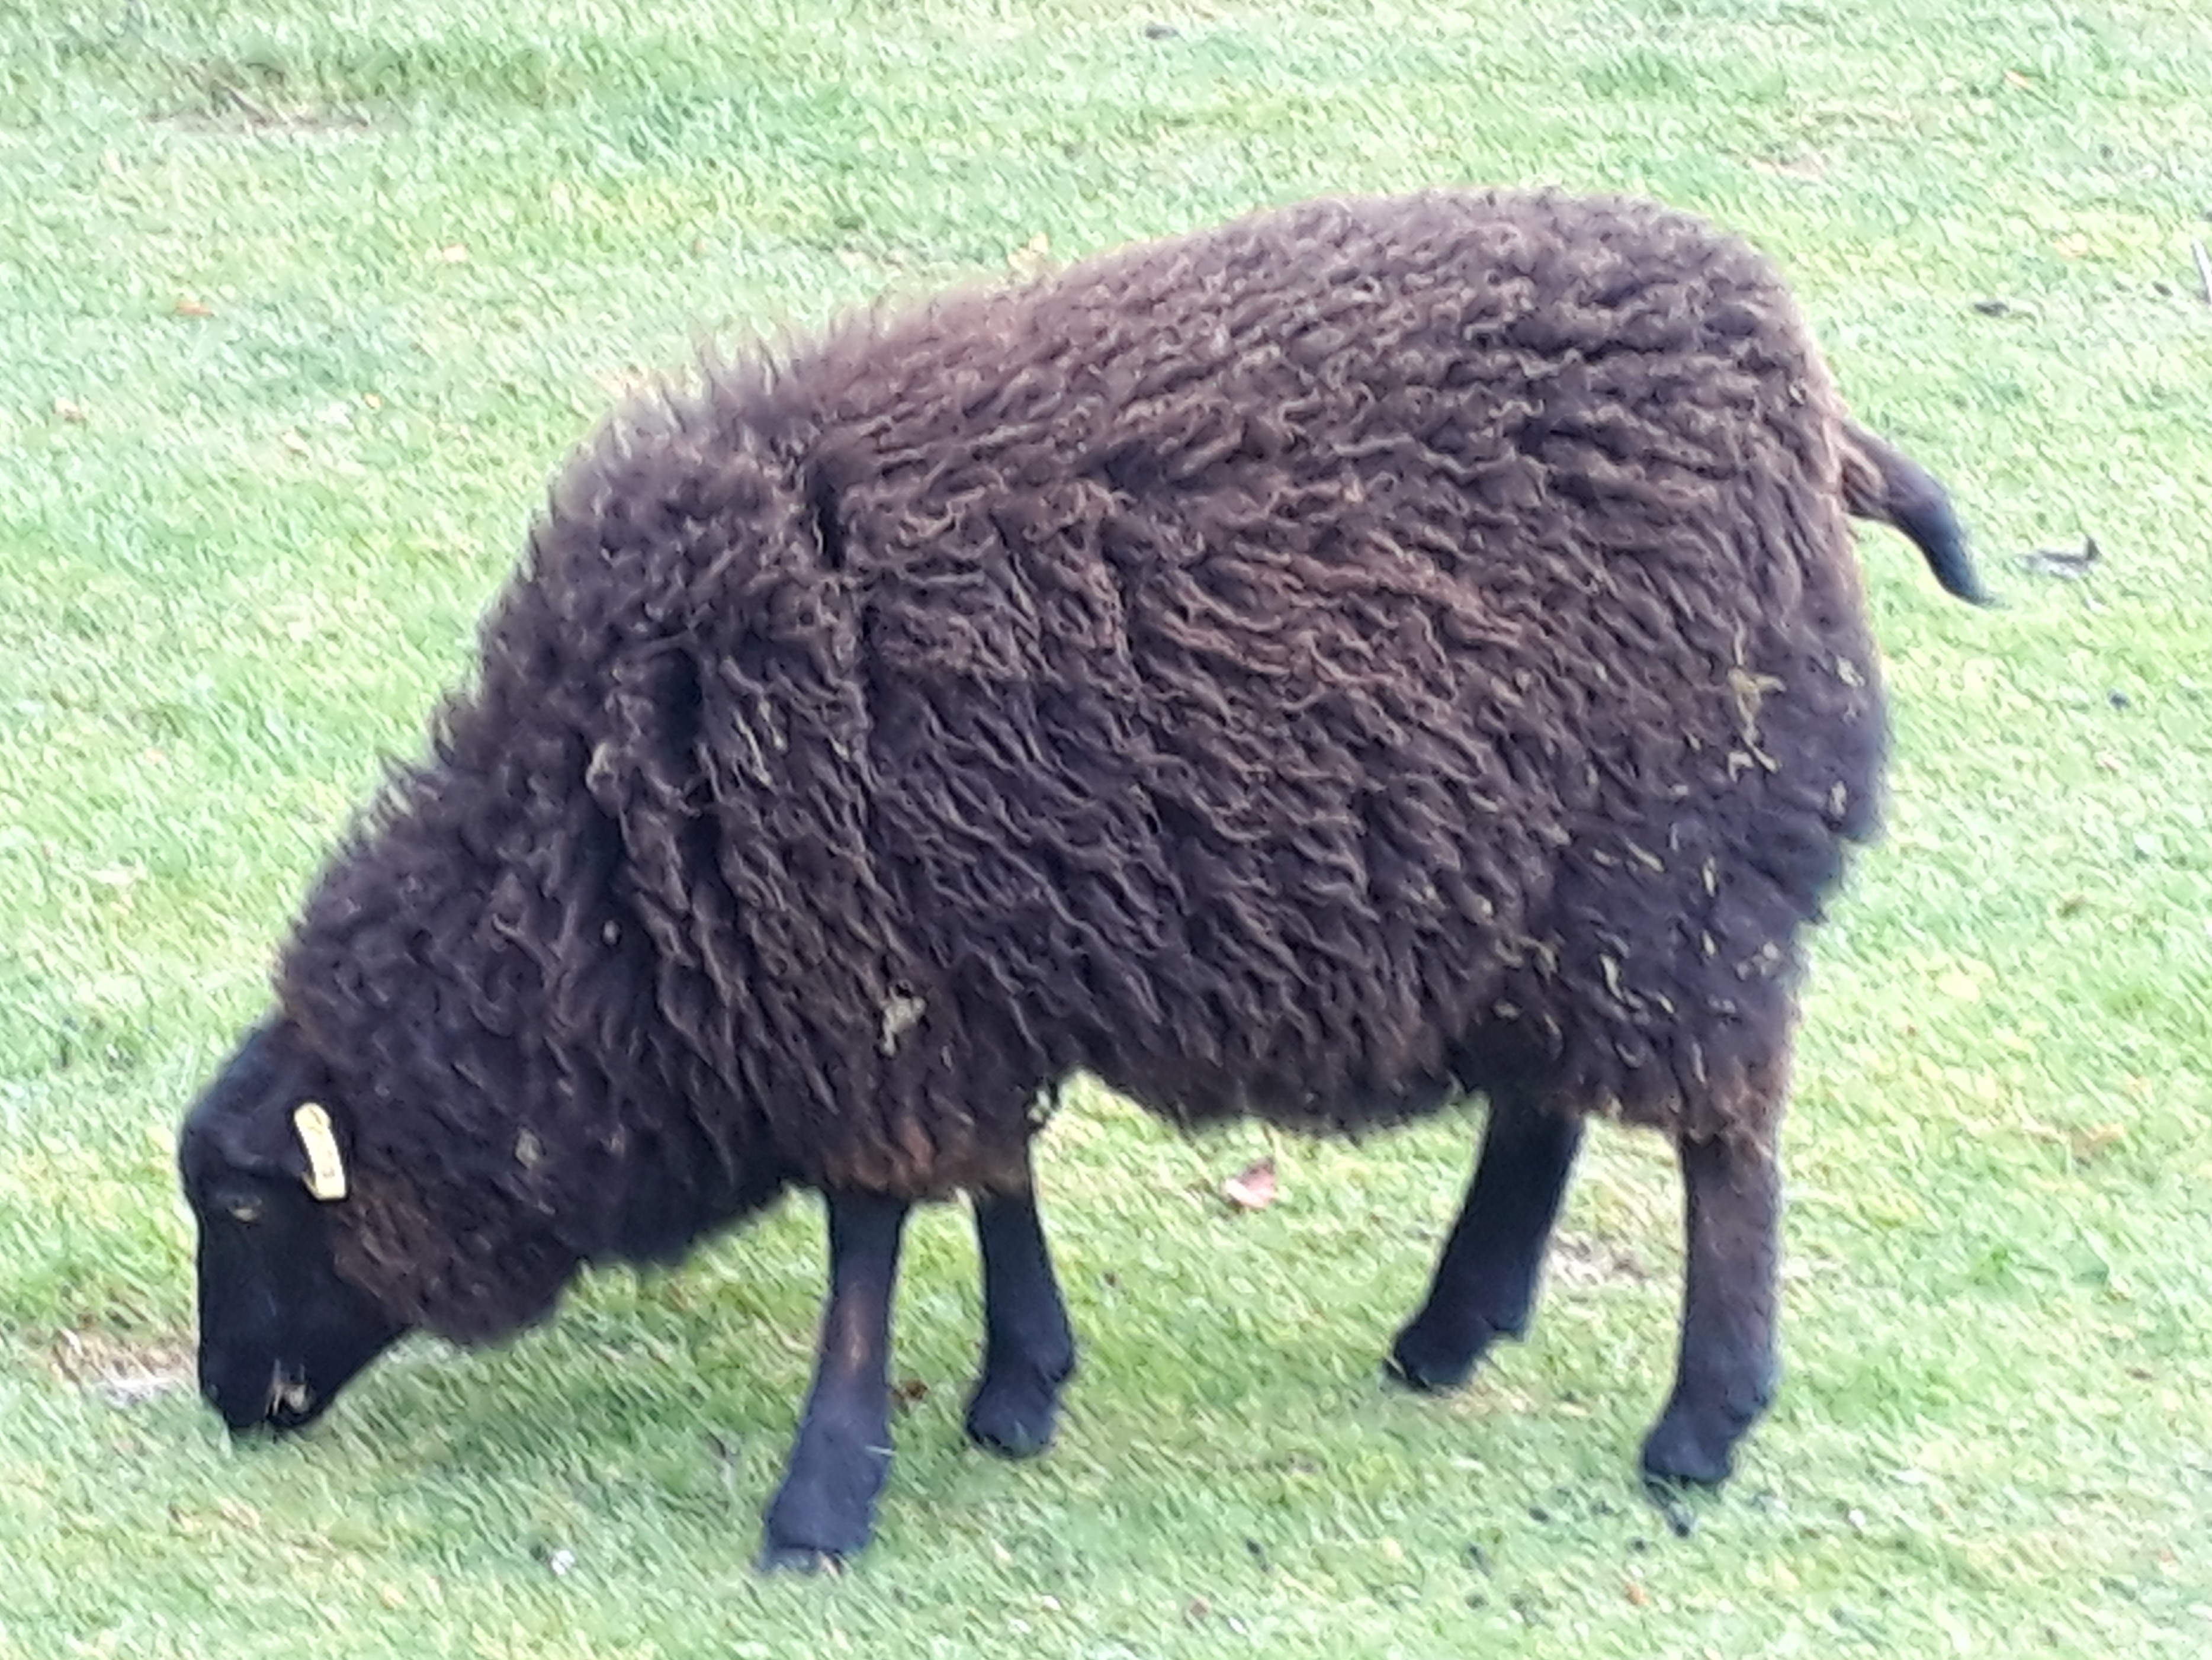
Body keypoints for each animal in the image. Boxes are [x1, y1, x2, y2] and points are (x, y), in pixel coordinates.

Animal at [181, 188, 1999, 1575]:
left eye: (252, 1205)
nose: (224, 1403)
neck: (599, 860)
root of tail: (1809, 408)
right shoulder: (956, 973)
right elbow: (994, 1179)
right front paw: (1017, 1387)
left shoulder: (863, 986)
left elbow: (867, 1233)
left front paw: (823, 1496)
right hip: (1548, 881)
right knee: (1546, 1094)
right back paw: (1449, 1329)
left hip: (1681, 866)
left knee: (1721, 1139)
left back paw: (1699, 1421)